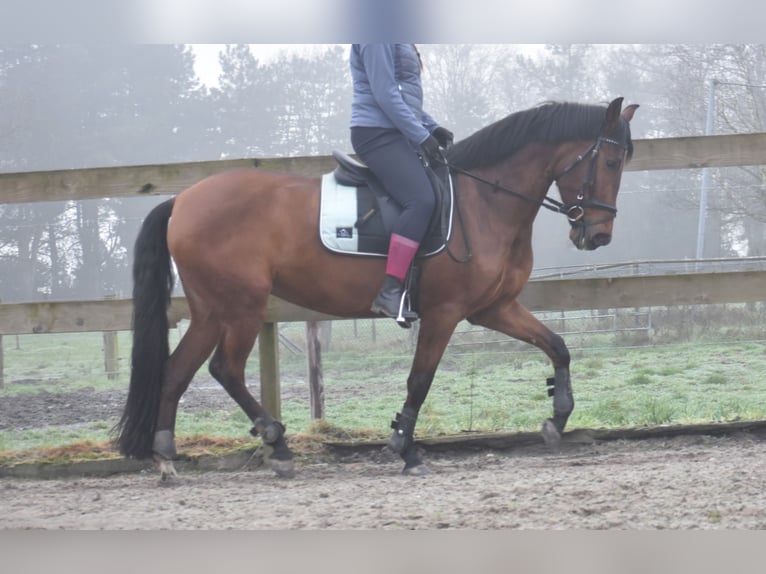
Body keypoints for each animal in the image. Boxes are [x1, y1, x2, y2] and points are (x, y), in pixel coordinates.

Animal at [115, 97, 640, 480]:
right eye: (612, 161)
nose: (597, 235)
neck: (484, 202)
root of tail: (183, 199)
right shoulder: (445, 312)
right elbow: (420, 380)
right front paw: (405, 448)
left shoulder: (494, 308)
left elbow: (558, 346)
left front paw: (558, 418)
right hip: (242, 307)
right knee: (224, 369)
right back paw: (277, 444)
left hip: (211, 310)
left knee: (176, 371)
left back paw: (166, 455)